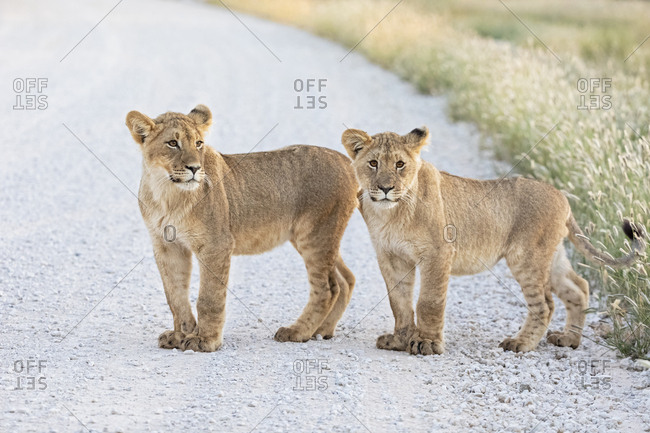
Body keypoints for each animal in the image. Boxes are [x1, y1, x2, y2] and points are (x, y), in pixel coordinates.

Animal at [125, 105, 358, 352]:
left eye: (198, 143)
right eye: (172, 143)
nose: (195, 168)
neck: (166, 193)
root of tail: (346, 161)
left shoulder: (216, 244)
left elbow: (209, 297)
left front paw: (205, 340)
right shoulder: (167, 245)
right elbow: (175, 295)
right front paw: (180, 335)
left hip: (315, 235)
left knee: (327, 288)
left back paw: (297, 332)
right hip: (320, 237)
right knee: (345, 280)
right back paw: (321, 331)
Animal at [342, 126, 645, 355]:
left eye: (400, 165)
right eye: (373, 163)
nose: (385, 188)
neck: (390, 213)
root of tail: (562, 197)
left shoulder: (438, 253)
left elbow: (428, 301)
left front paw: (426, 344)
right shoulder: (391, 257)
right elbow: (400, 302)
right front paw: (400, 341)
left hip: (526, 257)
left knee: (545, 304)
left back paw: (521, 344)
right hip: (553, 254)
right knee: (578, 287)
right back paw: (569, 339)